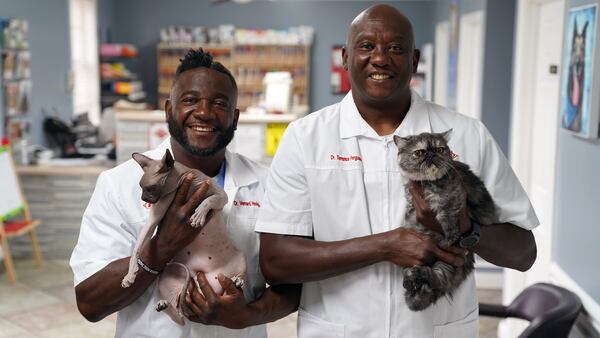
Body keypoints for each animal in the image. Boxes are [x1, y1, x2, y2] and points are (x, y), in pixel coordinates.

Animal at [394, 130, 496, 312]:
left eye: (440, 149)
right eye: (419, 152)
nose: (431, 154)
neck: (429, 184)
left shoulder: (452, 198)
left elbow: (447, 217)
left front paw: (451, 236)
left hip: (447, 264)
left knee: (435, 280)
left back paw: (415, 278)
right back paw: (411, 280)